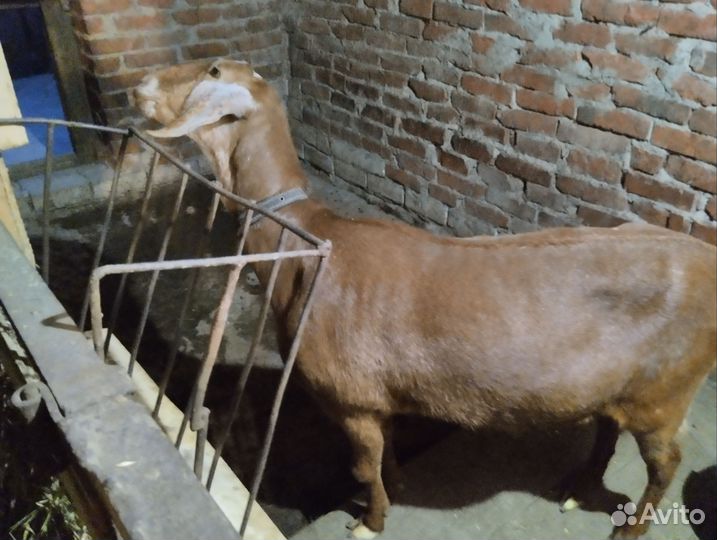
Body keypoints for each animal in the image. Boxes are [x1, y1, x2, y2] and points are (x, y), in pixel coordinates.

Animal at [134, 59, 716, 540]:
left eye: (211, 69)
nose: (139, 86)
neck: (307, 244)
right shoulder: (378, 397)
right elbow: (385, 453)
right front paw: (395, 486)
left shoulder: (350, 397)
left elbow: (361, 466)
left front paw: (370, 521)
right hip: (620, 385)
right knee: (606, 429)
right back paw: (575, 489)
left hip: (667, 391)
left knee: (668, 460)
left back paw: (630, 528)